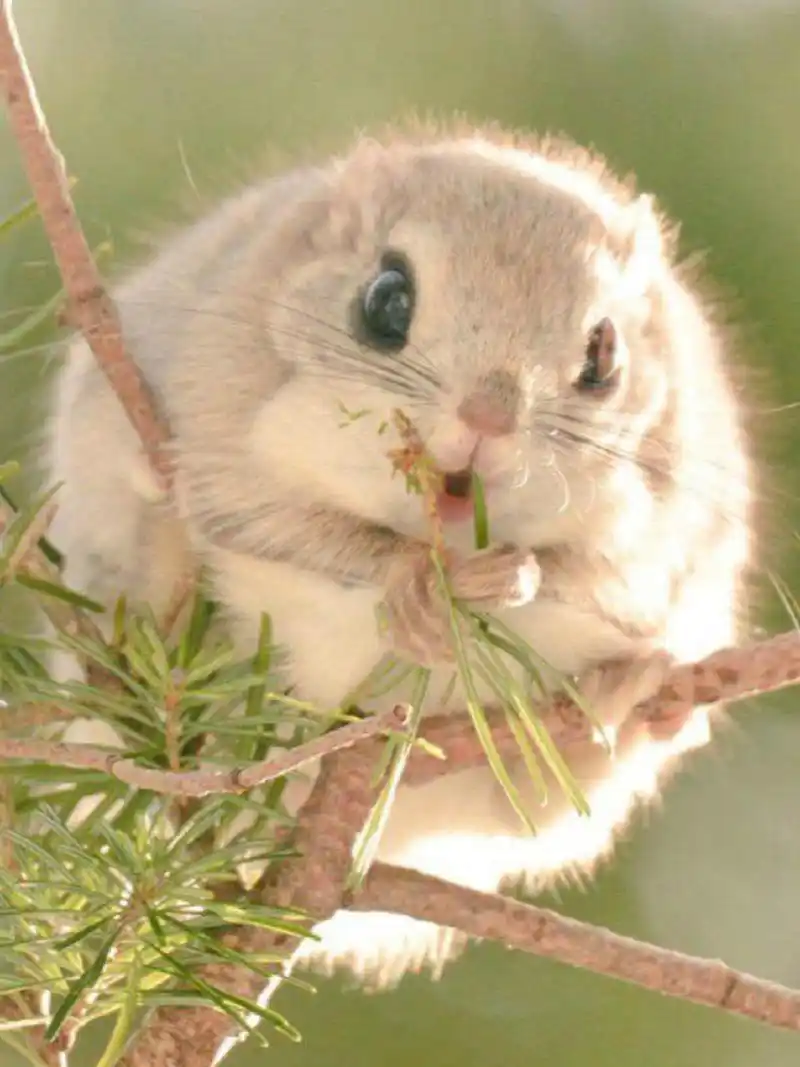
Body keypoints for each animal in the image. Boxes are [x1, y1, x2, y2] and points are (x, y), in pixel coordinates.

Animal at [44, 121, 753, 987]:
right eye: (386, 300)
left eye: (604, 354)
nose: (488, 417)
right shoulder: (224, 440)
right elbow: (296, 532)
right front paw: (414, 593)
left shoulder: (672, 529)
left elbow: (592, 577)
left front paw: (513, 578)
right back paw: (157, 540)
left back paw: (627, 701)